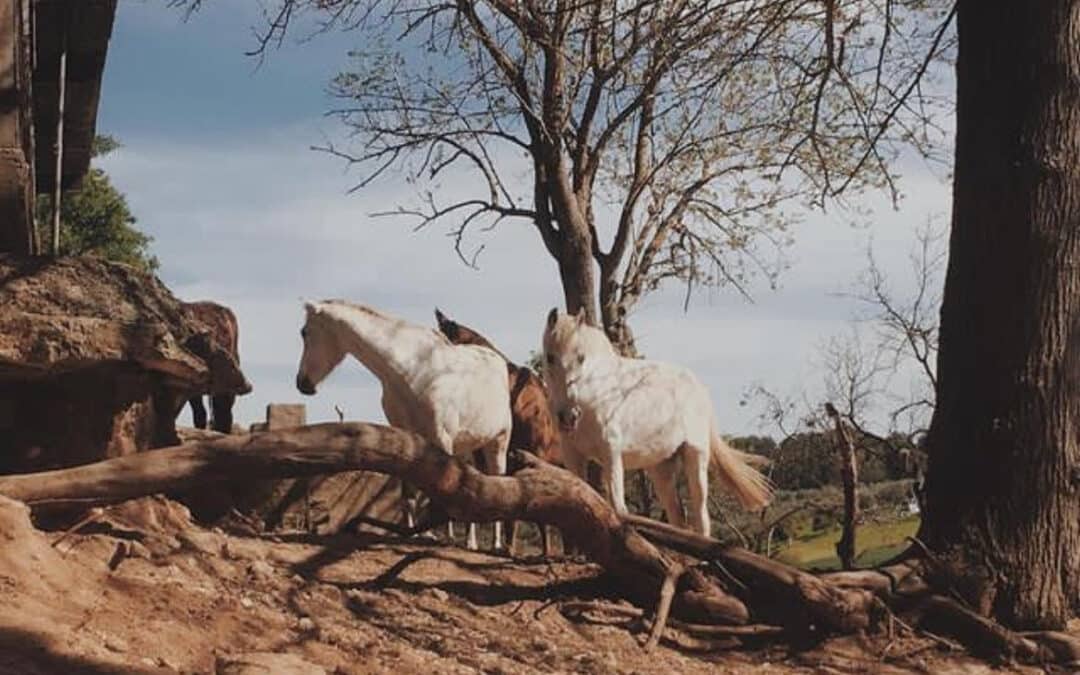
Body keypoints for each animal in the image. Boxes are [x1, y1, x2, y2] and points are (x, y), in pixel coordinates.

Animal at [295, 300, 514, 548]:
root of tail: (497, 360)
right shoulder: (407, 437)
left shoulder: (441, 437)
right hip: (467, 446)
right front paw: (413, 535)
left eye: (305, 332)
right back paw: (469, 541)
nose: (302, 384)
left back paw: (495, 545)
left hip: (498, 443)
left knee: (498, 482)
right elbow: (409, 495)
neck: (414, 370)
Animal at [544, 308, 773, 533]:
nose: (569, 416)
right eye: (549, 357)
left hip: (696, 457)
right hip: (661, 468)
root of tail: (699, 387)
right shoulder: (573, 456)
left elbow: (619, 509)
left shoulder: (611, 453)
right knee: (677, 519)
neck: (597, 394)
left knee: (701, 520)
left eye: (581, 357)